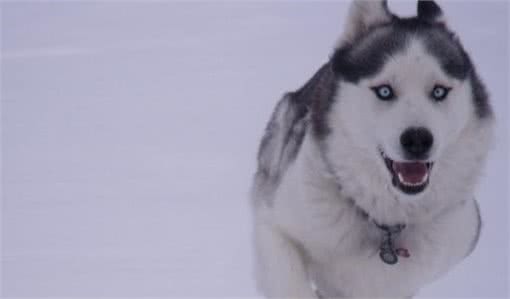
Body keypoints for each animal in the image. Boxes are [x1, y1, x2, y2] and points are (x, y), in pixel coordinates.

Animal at [251, 1, 494, 298]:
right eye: (384, 91)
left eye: (439, 91)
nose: (418, 140)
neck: (385, 224)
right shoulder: (273, 224)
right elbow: (290, 282)